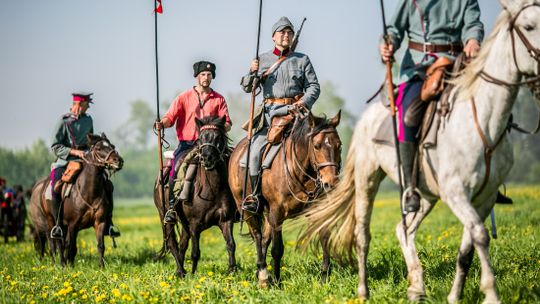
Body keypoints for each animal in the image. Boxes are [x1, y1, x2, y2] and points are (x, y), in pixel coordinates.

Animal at [29, 134, 123, 268]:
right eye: (99, 148)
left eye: (112, 146)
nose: (118, 161)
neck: (89, 192)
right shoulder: (73, 225)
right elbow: (71, 247)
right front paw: (70, 266)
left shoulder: (100, 222)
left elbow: (100, 246)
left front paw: (101, 267)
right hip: (51, 221)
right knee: (56, 244)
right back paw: (61, 264)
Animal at [153, 116, 235, 278]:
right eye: (201, 137)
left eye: (218, 137)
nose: (207, 158)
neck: (212, 188)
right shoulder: (195, 224)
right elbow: (195, 252)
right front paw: (193, 275)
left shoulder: (225, 221)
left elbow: (230, 245)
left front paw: (232, 271)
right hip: (164, 215)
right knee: (172, 243)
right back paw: (181, 271)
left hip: (184, 223)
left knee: (182, 244)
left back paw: (180, 271)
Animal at [228, 110, 342, 286]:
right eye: (317, 146)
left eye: (339, 145)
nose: (331, 182)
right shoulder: (277, 213)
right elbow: (277, 249)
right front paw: (276, 281)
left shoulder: (316, 208)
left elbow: (324, 237)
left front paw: (324, 277)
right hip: (247, 208)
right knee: (257, 236)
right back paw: (263, 275)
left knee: (264, 239)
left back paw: (260, 274)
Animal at [302, 1, 536, 302]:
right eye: (528, 26)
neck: (481, 121)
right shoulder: (457, 193)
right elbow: (481, 236)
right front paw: (491, 294)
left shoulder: (483, 199)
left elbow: (468, 247)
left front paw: (455, 296)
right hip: (367, 179)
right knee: (362, 234)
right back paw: (364, 291)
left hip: (424, 195)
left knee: (404, 229)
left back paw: (416, 286)